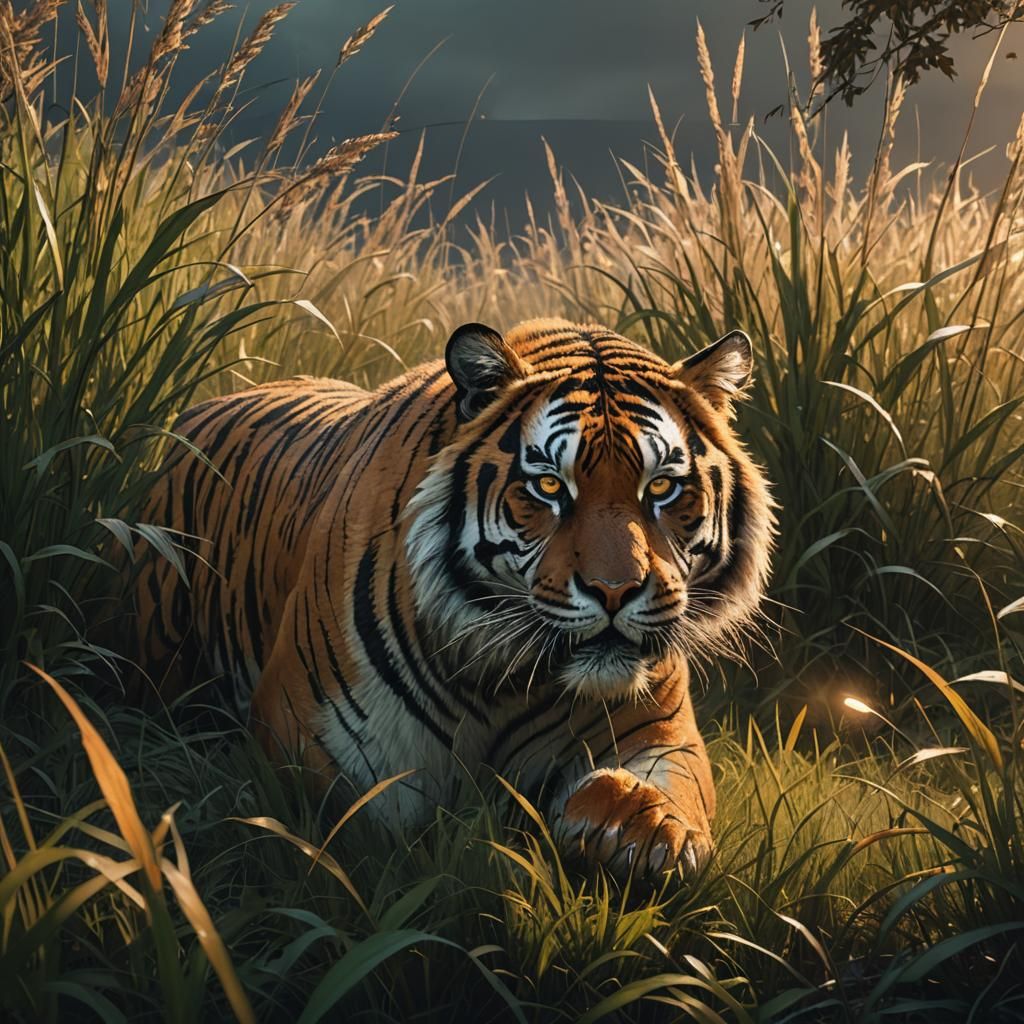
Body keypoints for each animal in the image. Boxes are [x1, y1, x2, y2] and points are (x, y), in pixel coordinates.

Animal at [136, 318, 775, 877]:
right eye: (549, 486)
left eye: (662, 487)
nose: (614, 590)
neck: (507, 684)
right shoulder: (316, 741)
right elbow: (367, 833)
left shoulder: (664, 730)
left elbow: (669, 791)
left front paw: (636, 827)